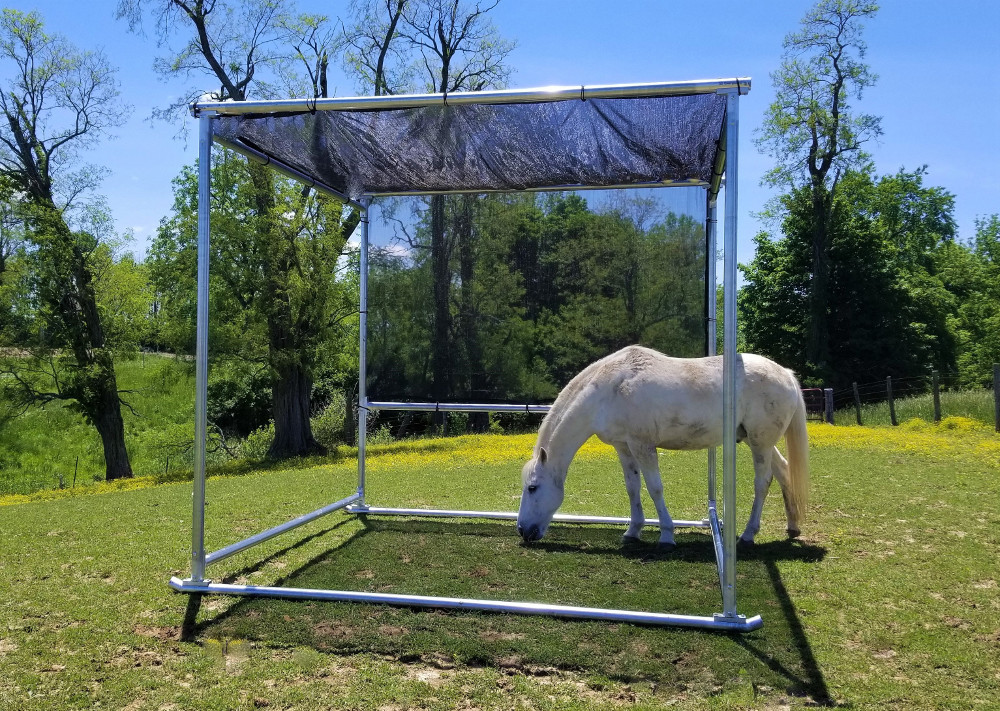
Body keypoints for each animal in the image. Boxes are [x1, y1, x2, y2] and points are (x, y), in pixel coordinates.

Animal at [516, 345, 809, 550]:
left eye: (532, 487)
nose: (522, 530)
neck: (608, 390)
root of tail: (786, 374)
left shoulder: (642, 445)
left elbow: (655, 488)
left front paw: (667, 535)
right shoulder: (624, 447)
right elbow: (632, 487)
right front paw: (632, 532)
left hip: (761, 442)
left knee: (763, 481)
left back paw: (748, 535)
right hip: (757, 440)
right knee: (783, 471)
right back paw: (792, 527)